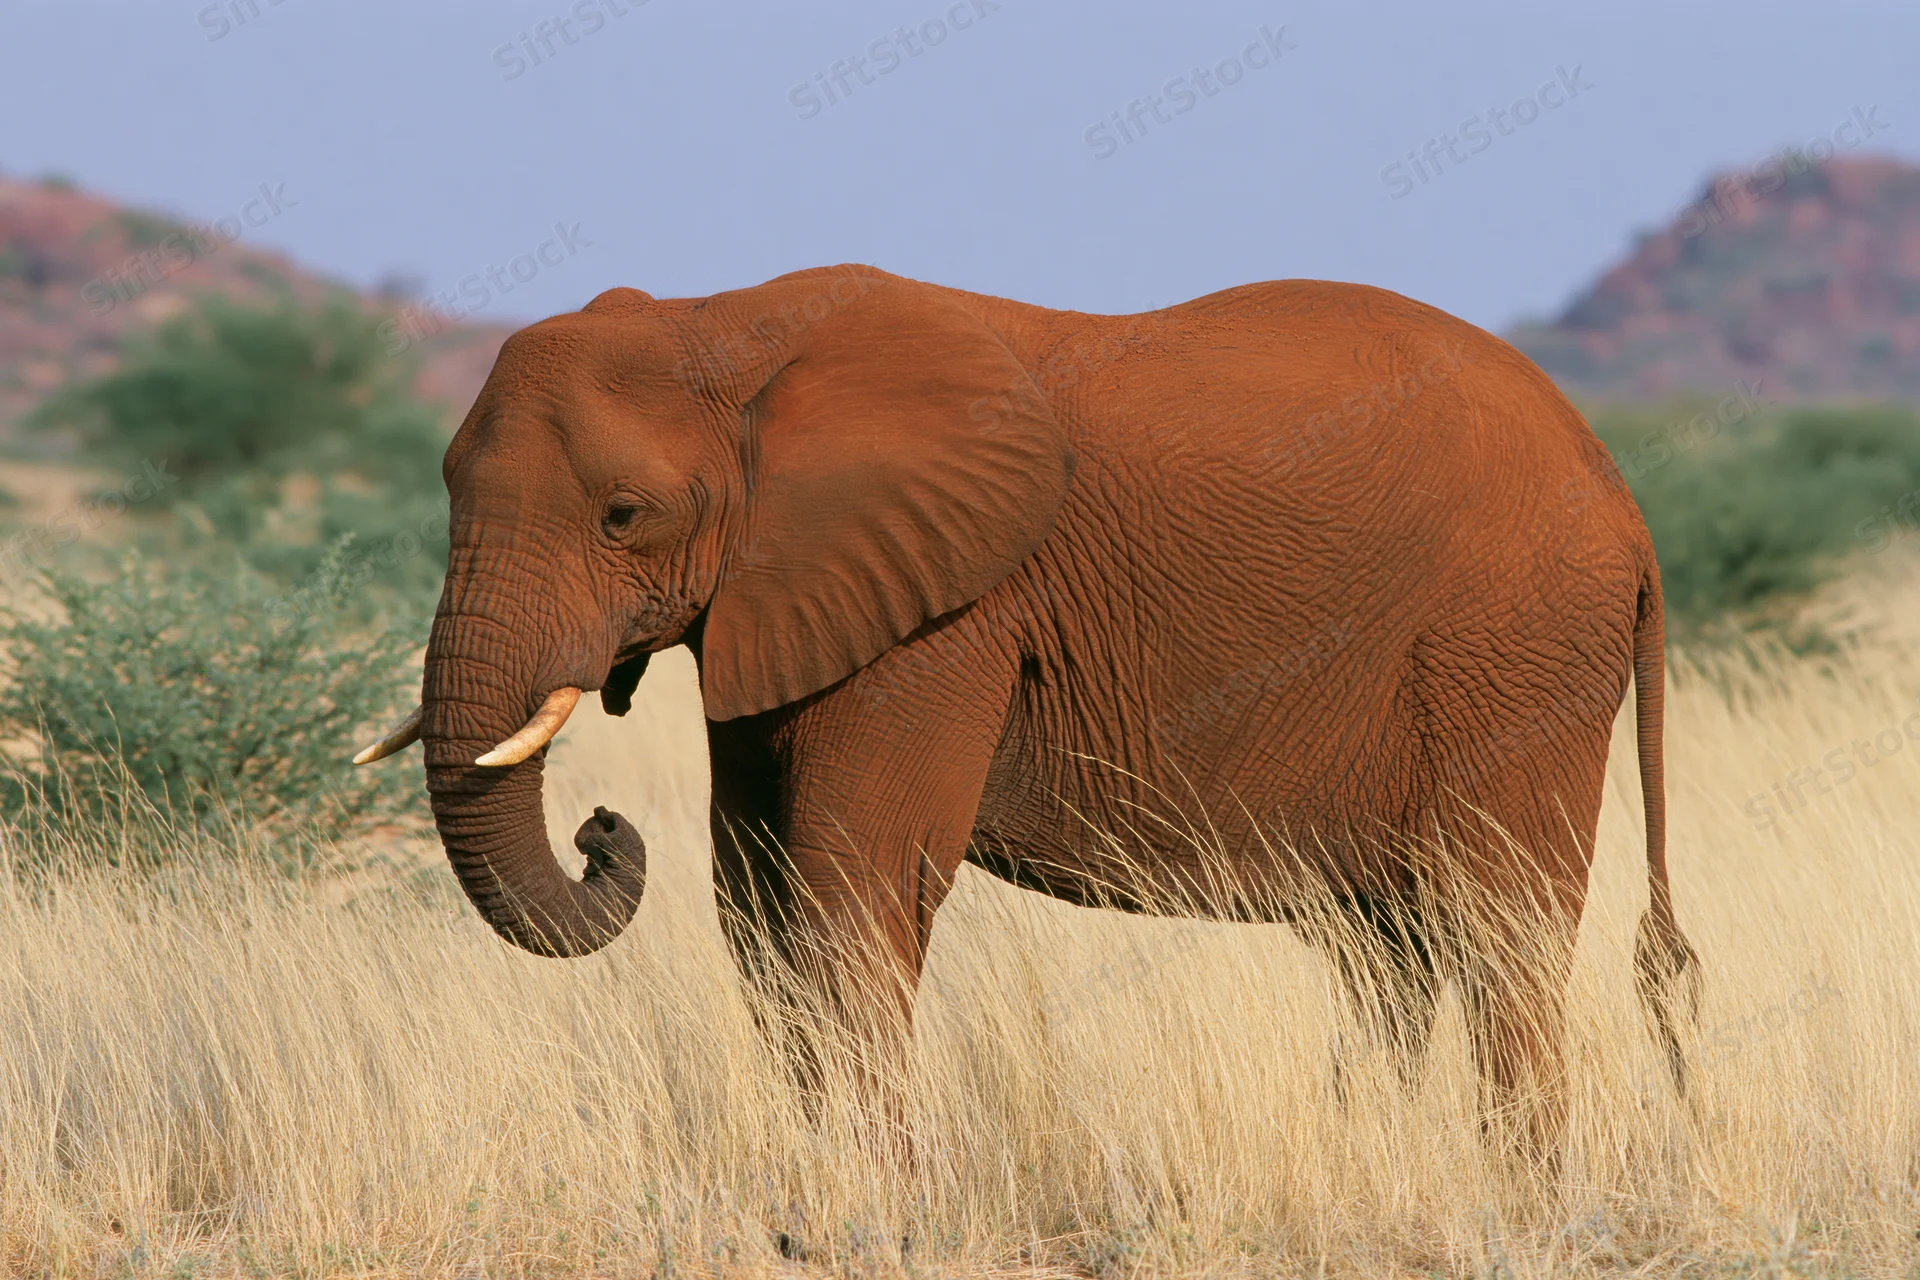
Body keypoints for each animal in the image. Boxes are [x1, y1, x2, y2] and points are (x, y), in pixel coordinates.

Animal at [354, 263, 1697, 1152]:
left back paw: (1521, 1187)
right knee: (1392, 945)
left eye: (623, 515)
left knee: (1495, 923)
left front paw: (876, 1190)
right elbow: (756, 900)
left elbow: (856, 882)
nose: (601, 829)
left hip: (1512, 646)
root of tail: (1626, 499)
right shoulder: (786, 594)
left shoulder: (944, 611)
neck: (725, 321)